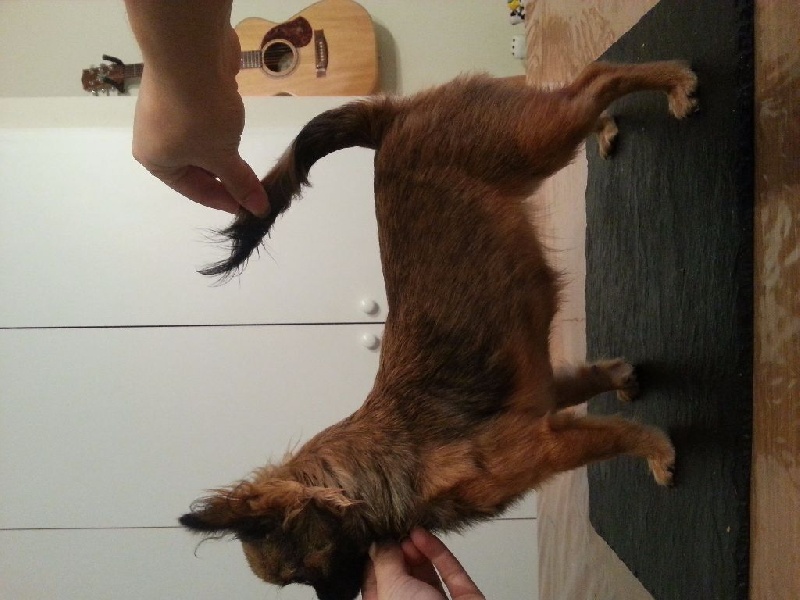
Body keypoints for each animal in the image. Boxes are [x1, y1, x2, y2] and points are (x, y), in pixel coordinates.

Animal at [180, 60, 698, 600]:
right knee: (582, 85)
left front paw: (659, 454)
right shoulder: (549, 391)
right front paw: (623, 379)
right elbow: (594, 381)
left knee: (599, 76)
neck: (369, 478)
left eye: (299, 570)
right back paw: (610, 127)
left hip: (537, 138)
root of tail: (387, 119)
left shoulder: (547, 446)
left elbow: (620, 437)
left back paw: (677, 85)